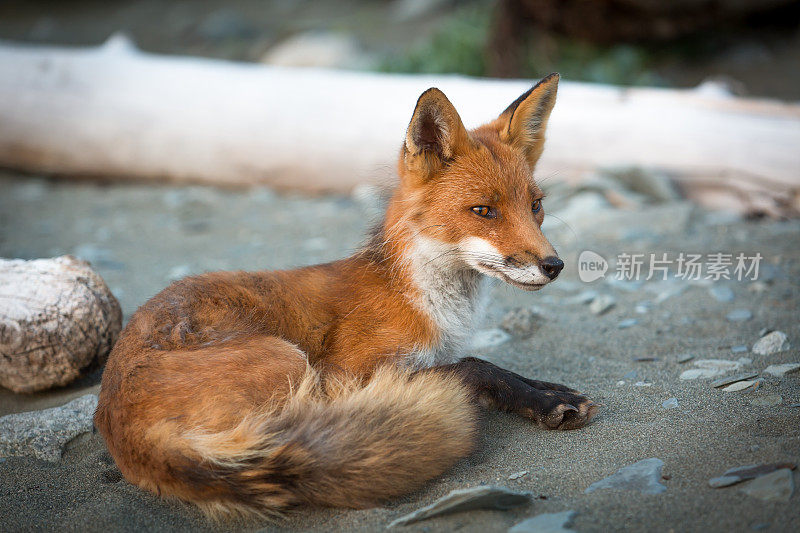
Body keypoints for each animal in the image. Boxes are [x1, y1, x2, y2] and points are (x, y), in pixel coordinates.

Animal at [95, 72, 592, 516]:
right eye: (484, 211)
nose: (554, 266)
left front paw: (546, 390)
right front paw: (541, 398)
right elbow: (476, 364)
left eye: (535, 206)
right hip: (289, 364)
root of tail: (124, 430)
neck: (425, 301)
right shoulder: (346, 374)